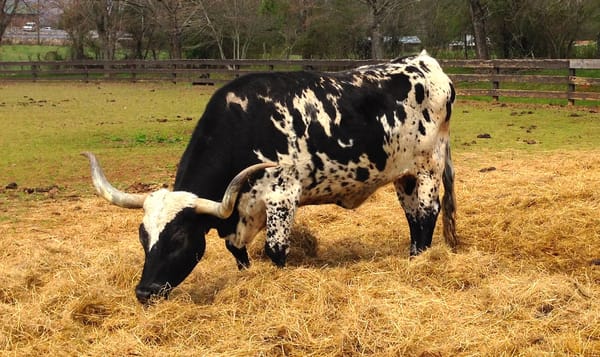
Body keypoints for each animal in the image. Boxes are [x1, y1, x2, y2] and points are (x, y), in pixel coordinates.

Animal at [82, 50, 458, 304]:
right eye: (143, 237)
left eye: (178, 239)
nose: (144, 292)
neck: (244, 125)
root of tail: (425, 62)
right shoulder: (238, 211)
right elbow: (237, 252)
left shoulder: (282, 196)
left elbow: (275, 251)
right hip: (404, 175)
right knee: (413, 218)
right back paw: (413, 257)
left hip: (428, 167)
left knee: (427, 214)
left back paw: (421, 263)